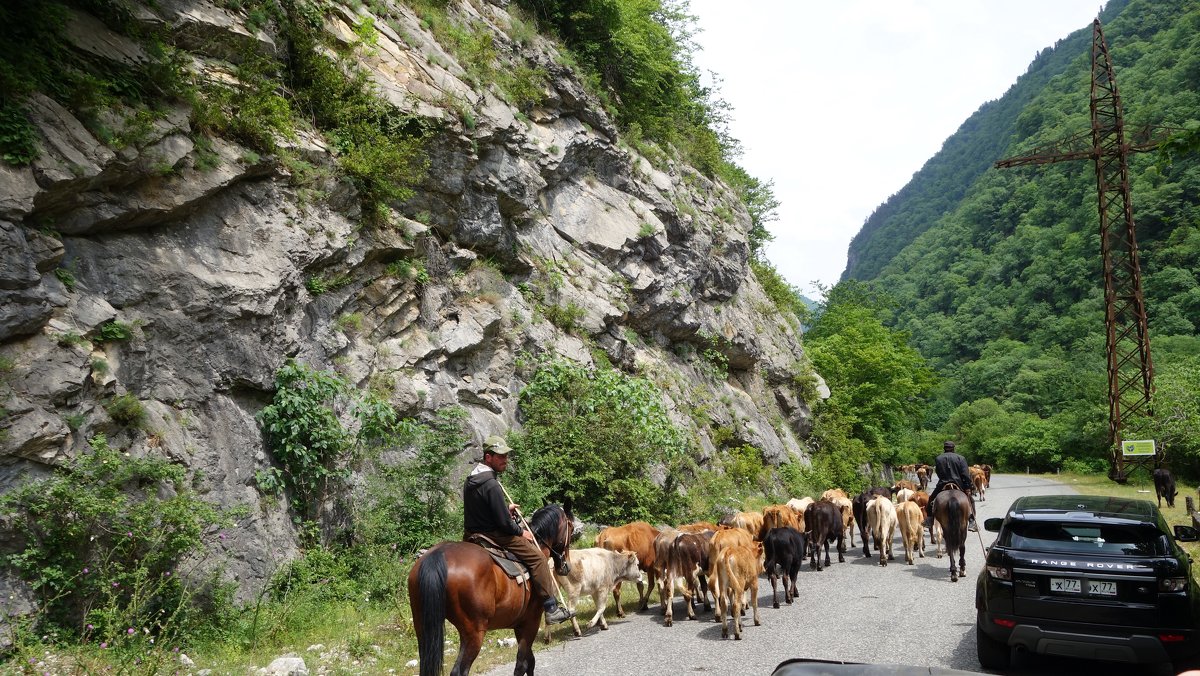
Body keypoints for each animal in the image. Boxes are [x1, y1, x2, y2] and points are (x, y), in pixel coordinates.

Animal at [408, 504, 571, 676]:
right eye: (571, 526)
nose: (565, 566)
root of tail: (439, 554)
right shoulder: (531, 621)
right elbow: (522, 664)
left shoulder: (520, 624)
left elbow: (529, 661)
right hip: (474, 633)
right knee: (460, 670)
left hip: (424, 630)